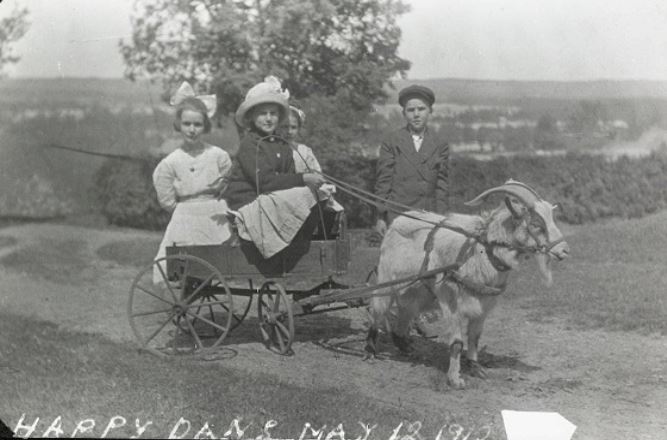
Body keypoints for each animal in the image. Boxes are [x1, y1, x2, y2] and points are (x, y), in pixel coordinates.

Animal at [366, 179, 568, 388]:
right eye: (536, 224)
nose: (564, 250)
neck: (480, 249)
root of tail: (396, 222)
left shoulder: (483, 304)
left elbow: (475, 337)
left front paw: (475, 367)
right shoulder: (450, 300)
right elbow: (456, 342)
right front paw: (455, 378)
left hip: (417, 291)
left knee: (405, 311)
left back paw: (405, 346)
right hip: (386, 280)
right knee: (376, 310)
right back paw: (371, 350)